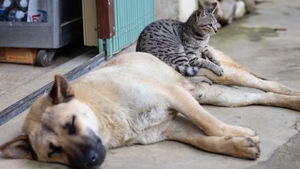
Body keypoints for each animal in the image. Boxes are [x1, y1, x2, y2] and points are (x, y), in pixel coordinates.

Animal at [1, 48, 300, 168]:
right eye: (54, 151)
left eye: (71, 124)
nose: (91, 162)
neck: (105, 110)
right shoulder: (172, 128)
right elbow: (205, 140)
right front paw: (237, 144)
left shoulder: (174, 95)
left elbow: (209, 124)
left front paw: (238, 133)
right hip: (216, 95)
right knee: (261, 96)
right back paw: (291, 101)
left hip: (225, 77)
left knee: (268, 85)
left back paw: (293, 95)